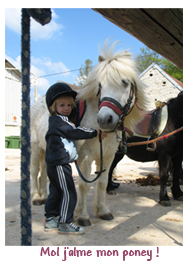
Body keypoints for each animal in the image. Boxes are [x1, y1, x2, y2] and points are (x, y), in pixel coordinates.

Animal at [30, 40, 150, 225]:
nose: (105, 120)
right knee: (35, 171)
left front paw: (102, 211)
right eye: (100, 85)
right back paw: (36, 197)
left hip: (46, 150)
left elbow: (102, 182)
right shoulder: (85, 157)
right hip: (36, 148)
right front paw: (82, 216)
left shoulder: (107, 156)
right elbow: (84, 185)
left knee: (43, 173)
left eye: (124, 82)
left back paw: (43, 197)